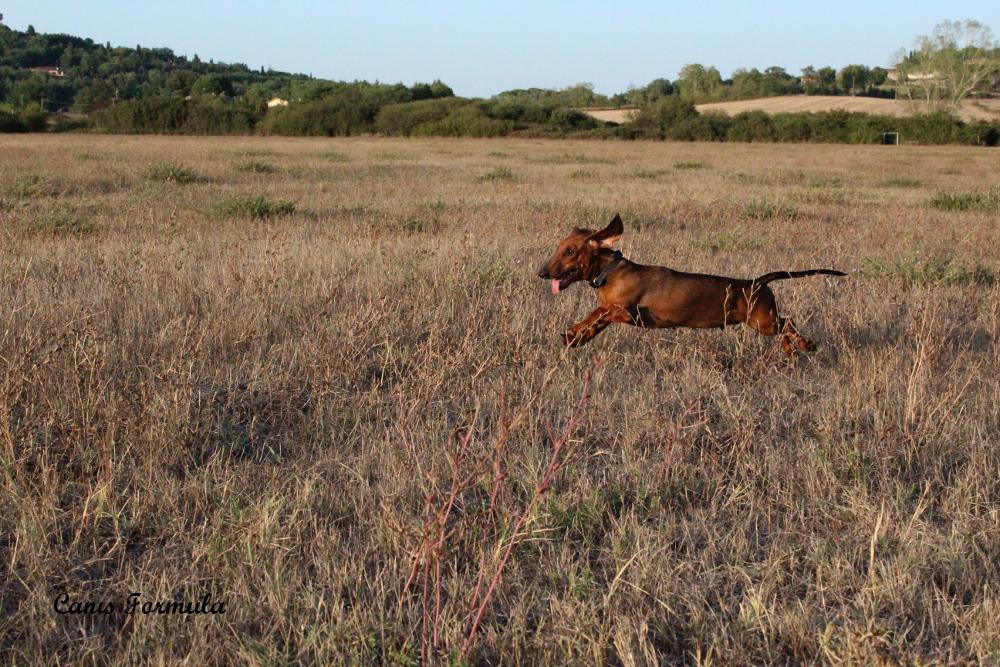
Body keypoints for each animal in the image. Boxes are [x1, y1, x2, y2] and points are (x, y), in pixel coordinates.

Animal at [540, 217, 844, 358]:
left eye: (570, 251)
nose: (541, 273)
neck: (610, 272)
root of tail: (757, 281)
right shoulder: (613, 312)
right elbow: (593, 324)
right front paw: (574, 338)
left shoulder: (624, 312)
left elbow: (594, 315)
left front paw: (573, 332)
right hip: (763, 321)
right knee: (786, 325)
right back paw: (791, 350)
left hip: (762, 321)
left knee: (788, 322)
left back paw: (804, 345)